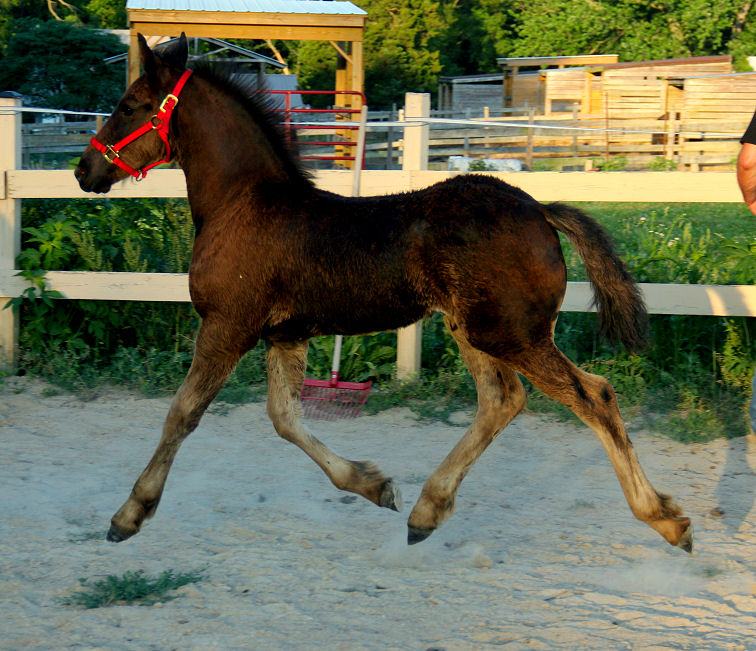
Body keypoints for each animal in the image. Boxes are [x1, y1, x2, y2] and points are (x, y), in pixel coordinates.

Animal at [75, 34, 692, 553]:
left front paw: (128, 515)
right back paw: (426, 511)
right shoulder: (285, 335)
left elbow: (182, 414)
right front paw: (374, 485)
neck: (242, 205)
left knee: (593, 396)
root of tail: (540, 209)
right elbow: (285, 418)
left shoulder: (227, 326)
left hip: (512, 333)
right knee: (502, 400)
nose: (84, 171)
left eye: (129, 105)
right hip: (474, 330)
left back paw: (666, 520)